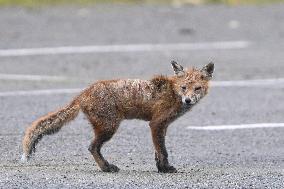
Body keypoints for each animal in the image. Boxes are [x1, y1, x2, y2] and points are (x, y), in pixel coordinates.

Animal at [21, 61, 214, 173]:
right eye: (184, 88)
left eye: (197, 88)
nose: (188, 100)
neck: (173, 93)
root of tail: (83, 93)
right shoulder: (156, 124)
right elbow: (163, 151)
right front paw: (165, 169)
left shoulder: (162, 126)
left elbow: (157, 151)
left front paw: (160, 167)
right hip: (109, 128)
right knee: (92, 147)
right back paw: (107, 168)